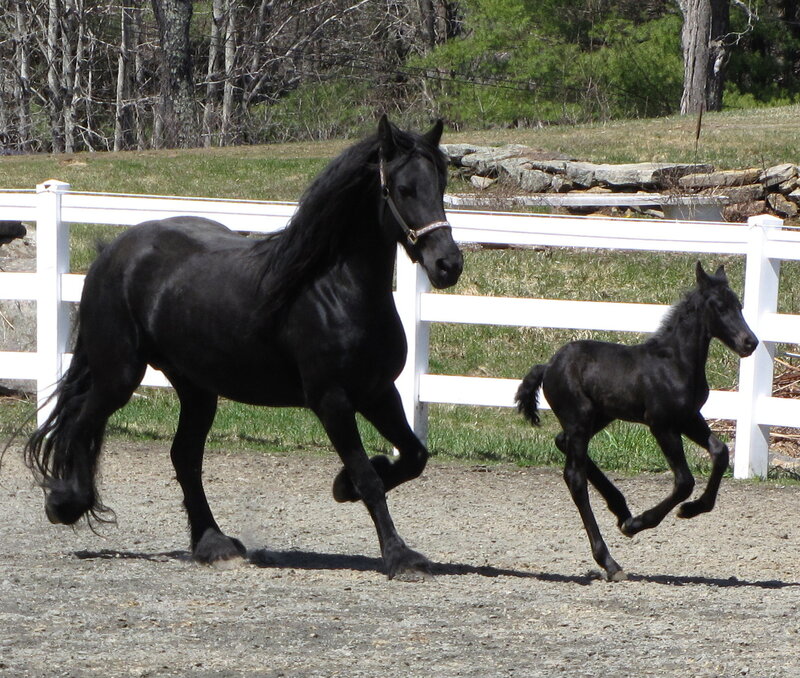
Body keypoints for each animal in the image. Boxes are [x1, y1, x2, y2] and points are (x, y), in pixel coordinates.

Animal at [23, 115, 463, 580]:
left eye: (440, 184)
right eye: (403, 189)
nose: (448, 265)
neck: (336, 289)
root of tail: (112, 252)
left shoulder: (379, 392)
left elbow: (414, 456)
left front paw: (343, 487)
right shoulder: (332, 400)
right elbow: (369, 478)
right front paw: (400, 555)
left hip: (197, 389)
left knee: (183, 457)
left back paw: (213, 544)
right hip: (119, 376)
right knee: (80, 424)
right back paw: (65, 502)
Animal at [515, 262, 758, 581]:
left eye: (739, 306)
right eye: (719, 306)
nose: (750, 342)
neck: (675, 363)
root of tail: (548, 366)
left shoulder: (689, 418)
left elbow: (720, 452)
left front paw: (692, 509)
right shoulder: (662, 424)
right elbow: (684, 481)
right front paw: (640, 523)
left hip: (600, 416)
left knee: (561, 441)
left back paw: (620, 509)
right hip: (579, 418)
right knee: (574, 477)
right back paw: (611, 560)